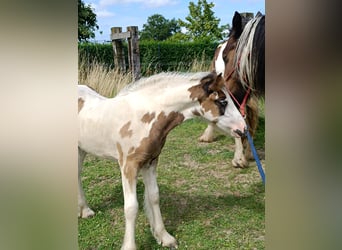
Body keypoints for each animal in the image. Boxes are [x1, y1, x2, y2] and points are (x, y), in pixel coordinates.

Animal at [78, 71, 246, 249]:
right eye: (222, 101)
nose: (243, 129)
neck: (142, 117)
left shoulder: (150, 162)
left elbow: (154, 197)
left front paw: (164, 237)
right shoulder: (128, 166)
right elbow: (131, 207)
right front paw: (130, 245)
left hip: (81, 150)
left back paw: (85, 211)